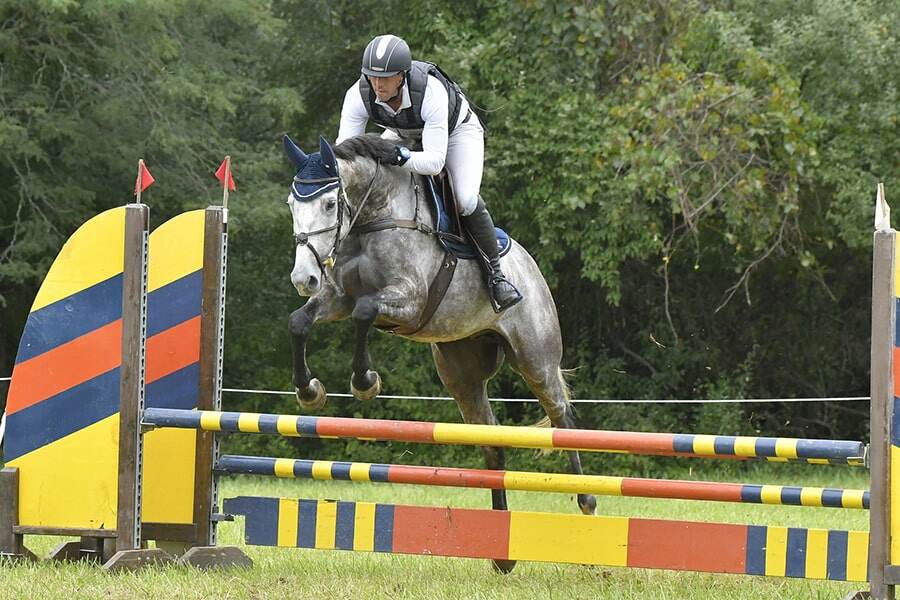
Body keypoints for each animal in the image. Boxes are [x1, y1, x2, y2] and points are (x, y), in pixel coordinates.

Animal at [284, 135, 596, 572]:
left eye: (330, 203)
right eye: (291, 204)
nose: (303, 278)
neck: (372, 217)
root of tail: (530, 266)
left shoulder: (408, 299)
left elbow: (365, 313)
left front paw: (364, 382)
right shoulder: (337, 297)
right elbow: (299, 322)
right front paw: (309, 390)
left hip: (536, 360)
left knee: (561, 417)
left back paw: (587, 500)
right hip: (461, 375)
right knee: (492, 440)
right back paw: (501, 553)